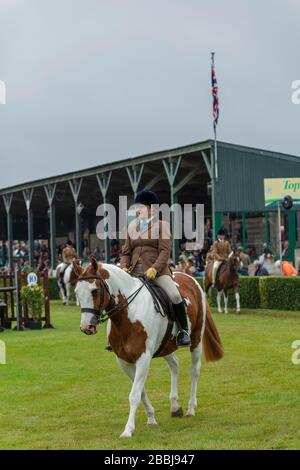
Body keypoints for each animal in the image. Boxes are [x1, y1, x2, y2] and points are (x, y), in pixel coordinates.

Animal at [72, 258, 223, 436]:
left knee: (194, 371)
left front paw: (128, 429)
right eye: (76, 292)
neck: (128, 314)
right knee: (174, 365)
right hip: (165, 345)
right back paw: (175, 406)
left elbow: (135, 394)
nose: (86, 327)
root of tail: (191, 278)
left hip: (196, 339)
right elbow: (141, 390)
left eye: (95, 291)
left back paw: (191, 408)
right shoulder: (123, 361)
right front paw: (151, 418)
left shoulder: (143, 358)